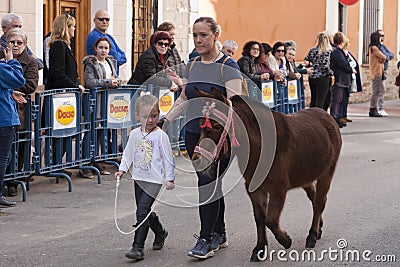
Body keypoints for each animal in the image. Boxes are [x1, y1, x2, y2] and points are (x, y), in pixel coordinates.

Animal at [192, 88, 342, 262]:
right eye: (200, 125)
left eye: (216, 126)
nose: (197, 159)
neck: (260, 146)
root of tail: (326, 115)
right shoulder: (254, 189)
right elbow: (260, 218)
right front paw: (259, 248)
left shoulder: (278, 190)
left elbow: (270, 220)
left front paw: (285, 240)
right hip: (306, 175)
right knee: (313, 196)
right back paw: (318, 228)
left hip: (327, 172)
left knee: (319, 202)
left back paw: (312, 235)